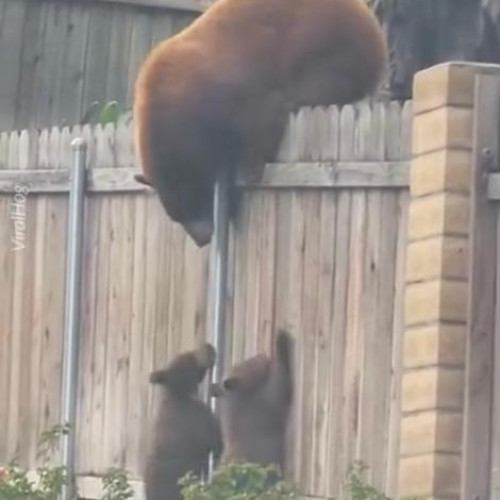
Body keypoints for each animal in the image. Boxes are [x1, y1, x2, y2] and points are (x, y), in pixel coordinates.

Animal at [132, 0, 386, 246]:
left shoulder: (228, 90)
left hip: (325, 41)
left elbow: (258, 119)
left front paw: (249, 170)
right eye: (177, 216)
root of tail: (373, 25)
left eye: (191, 203)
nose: (202, 240)